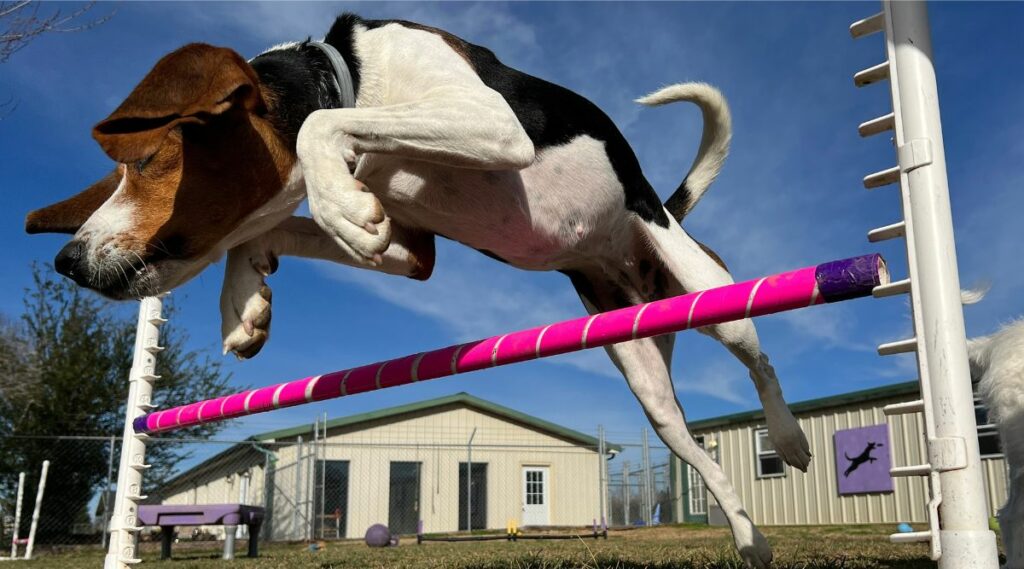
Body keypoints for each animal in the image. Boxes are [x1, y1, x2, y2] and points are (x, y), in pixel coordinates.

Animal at [25, 13, 806, 564]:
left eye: (148, 160)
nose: (68, 260)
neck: (350, 75)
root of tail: (655, 230)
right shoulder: (409, 251)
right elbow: (274, 227)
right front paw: (245, 298)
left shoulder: (491, 123)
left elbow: (317, 127)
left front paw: (332, 209)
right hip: (645, 376)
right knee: (697, 449)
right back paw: (750, 539)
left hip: (712, 293)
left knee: (761, 361)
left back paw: (790, 440)